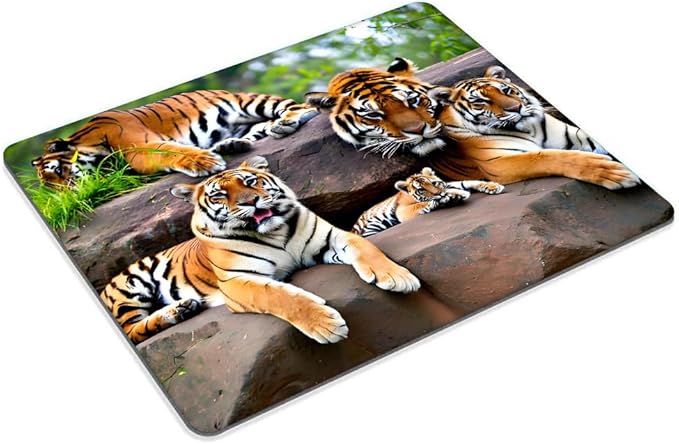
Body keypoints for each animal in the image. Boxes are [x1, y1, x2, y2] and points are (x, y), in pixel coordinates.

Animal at [31, 90, 318, 188]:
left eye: (58, 172)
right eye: (50, 189)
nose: (72, 196)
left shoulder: (139, 144)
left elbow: (169, 151)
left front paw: (205, 162)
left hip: (251, 102)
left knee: (301, 106)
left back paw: (286, 122)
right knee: (259, 130)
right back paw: (230, 144)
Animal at [100, 156, 420, 344]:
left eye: (250, 181)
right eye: (220, 195)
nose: (250, 202)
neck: (274, 232)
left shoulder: (332, 237)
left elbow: (365, 247)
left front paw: (398, 277)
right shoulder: (237, 280)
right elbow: (279, 297)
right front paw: (327, 326)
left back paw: (183, 308)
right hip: (131, 287)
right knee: (133, 330)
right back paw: (174, 313)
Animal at [306, 58, 640, 191]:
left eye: (507, 91)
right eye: (480, 102)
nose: (516, 108)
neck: (529, 127)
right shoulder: (500, 164)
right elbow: (554, 157)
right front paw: (614, 173)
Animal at [352, 167, 503, 237]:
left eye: (434, 183)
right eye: (421, 190)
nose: (438, 193)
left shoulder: (451, 184)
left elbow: (468, 182)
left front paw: (493, 186)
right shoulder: (402, 210)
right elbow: (421, 204)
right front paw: (454, 195)